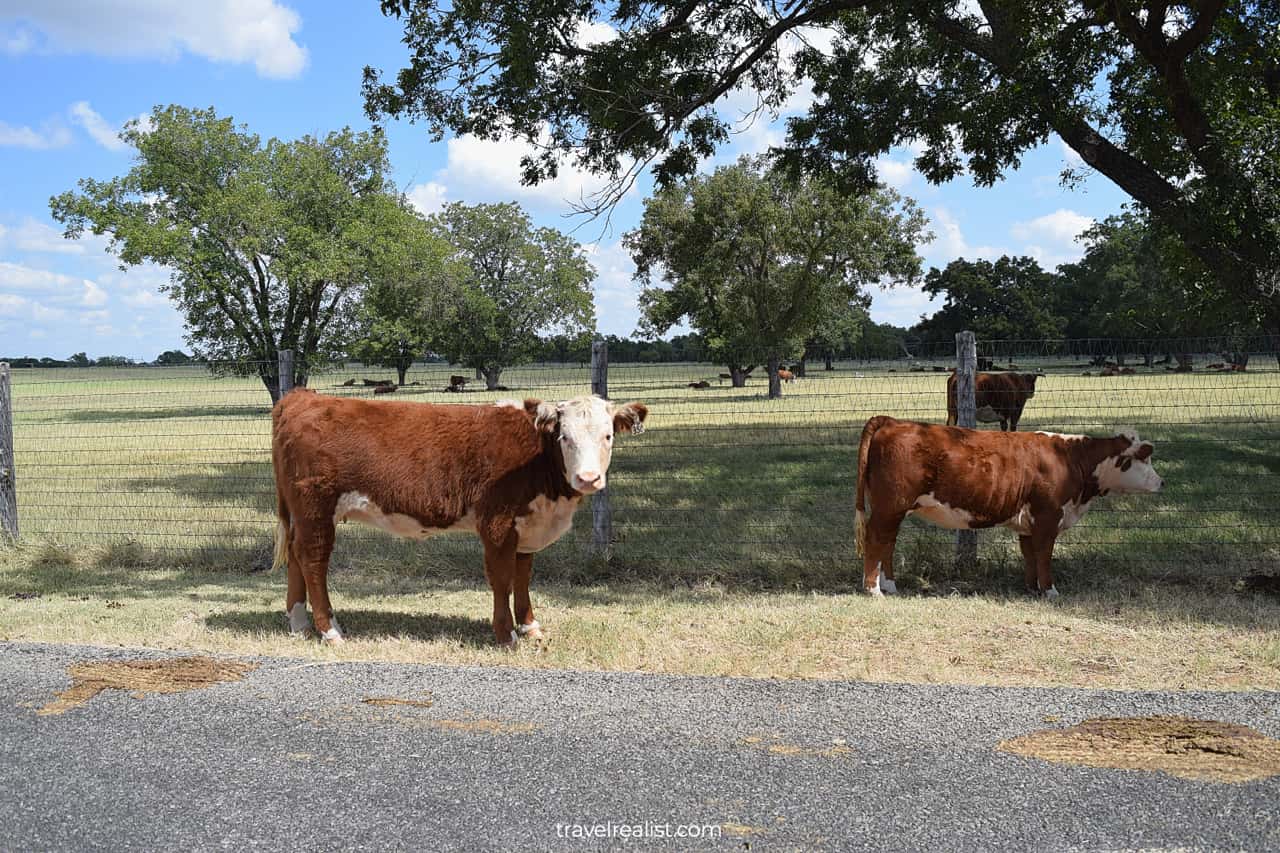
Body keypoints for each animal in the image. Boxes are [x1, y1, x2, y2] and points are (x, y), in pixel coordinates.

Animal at [271, 391, 650, 645]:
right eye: (564, 436)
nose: (588, 478)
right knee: (313, 560)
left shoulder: (527, 524)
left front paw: (529, 626)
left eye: (608, 435)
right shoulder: (497, 522)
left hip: (302, 515)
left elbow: (523, 576)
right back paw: (329, 630)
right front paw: (505, 634)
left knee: (296, 556)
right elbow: (502, 578)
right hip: (316, 509)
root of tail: (303, 396)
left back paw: (300, 623)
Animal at [855, 414, 1167, 594]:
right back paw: (872, 589)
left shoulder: (1029, 522)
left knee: (888, 542)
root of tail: (893, 421)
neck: (1070, 459)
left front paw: (1031, 588)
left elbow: (1030, 555)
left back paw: (890, 585)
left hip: (893, 509)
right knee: (876, 539)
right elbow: (1044, 555)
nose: (1162, 482)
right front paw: (1050, 591)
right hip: (890, 505)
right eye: (1145, 459)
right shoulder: (1048, 516)